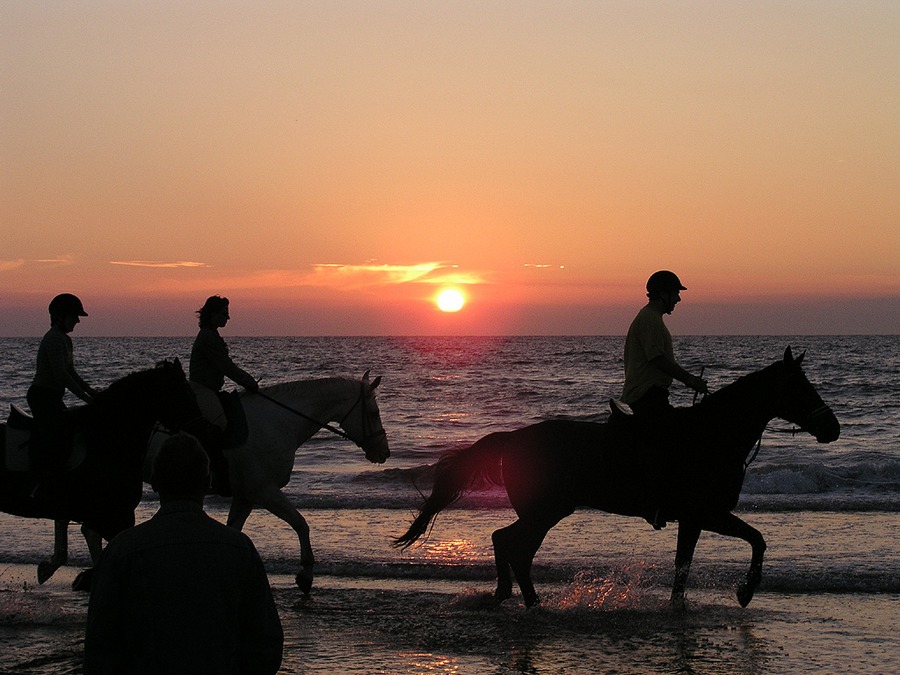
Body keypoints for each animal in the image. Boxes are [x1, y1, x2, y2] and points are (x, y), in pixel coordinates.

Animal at [41, 372, 386, 596]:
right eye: (373, 411)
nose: (382, 452)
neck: (278, 421)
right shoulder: (264, 491)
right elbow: (301, 523)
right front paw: (305, 575)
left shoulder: (246, 496)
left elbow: (235, 530)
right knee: (84, 523)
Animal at [398, 352, 840, 608]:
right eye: (800, 386)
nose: (832, 428)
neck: (712, 435)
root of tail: (513, 437)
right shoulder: (705, 513)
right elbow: (756, 540)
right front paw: (746, 591)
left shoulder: (694, 520)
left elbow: (684, 566)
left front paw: (682, 606)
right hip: (546, 511)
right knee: (513, 545)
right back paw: (530, 601)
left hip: (544, 511)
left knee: (507, 542)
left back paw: (515, 596)